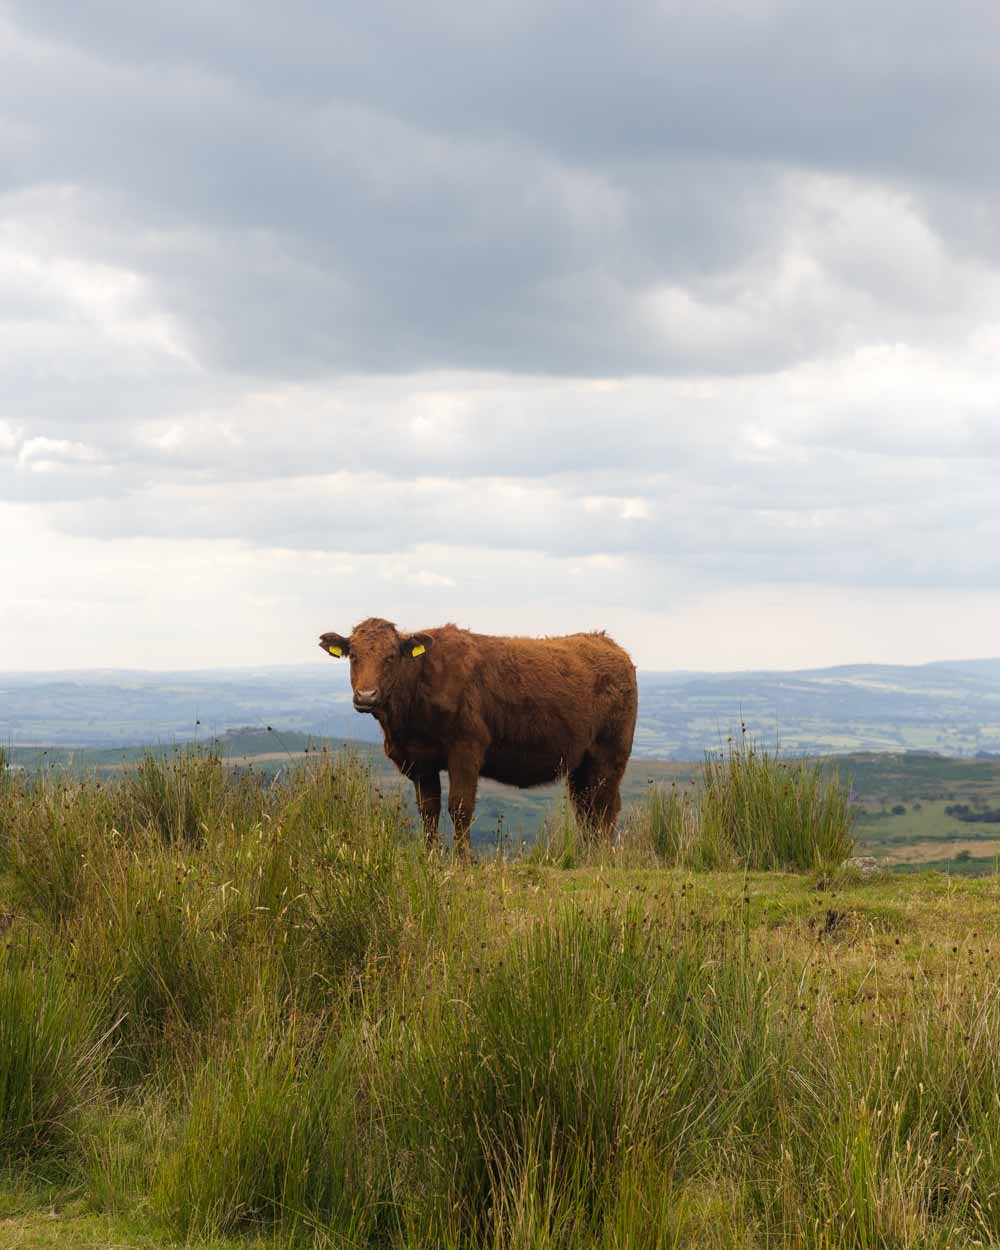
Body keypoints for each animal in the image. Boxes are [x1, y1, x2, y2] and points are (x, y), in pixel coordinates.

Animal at [316, 617, 637, 860]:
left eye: (390, 656)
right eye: (353, 655)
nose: (366, 696)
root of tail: (609, 644)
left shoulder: (466, 748)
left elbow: (460, 807)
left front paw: (463, 861)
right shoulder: (420, 761)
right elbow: (429, 810)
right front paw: (430, 858)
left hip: (609, 755)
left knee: (605, 806)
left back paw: (601, 858)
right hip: (581, 764)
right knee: (586, 808)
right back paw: (588, 854)